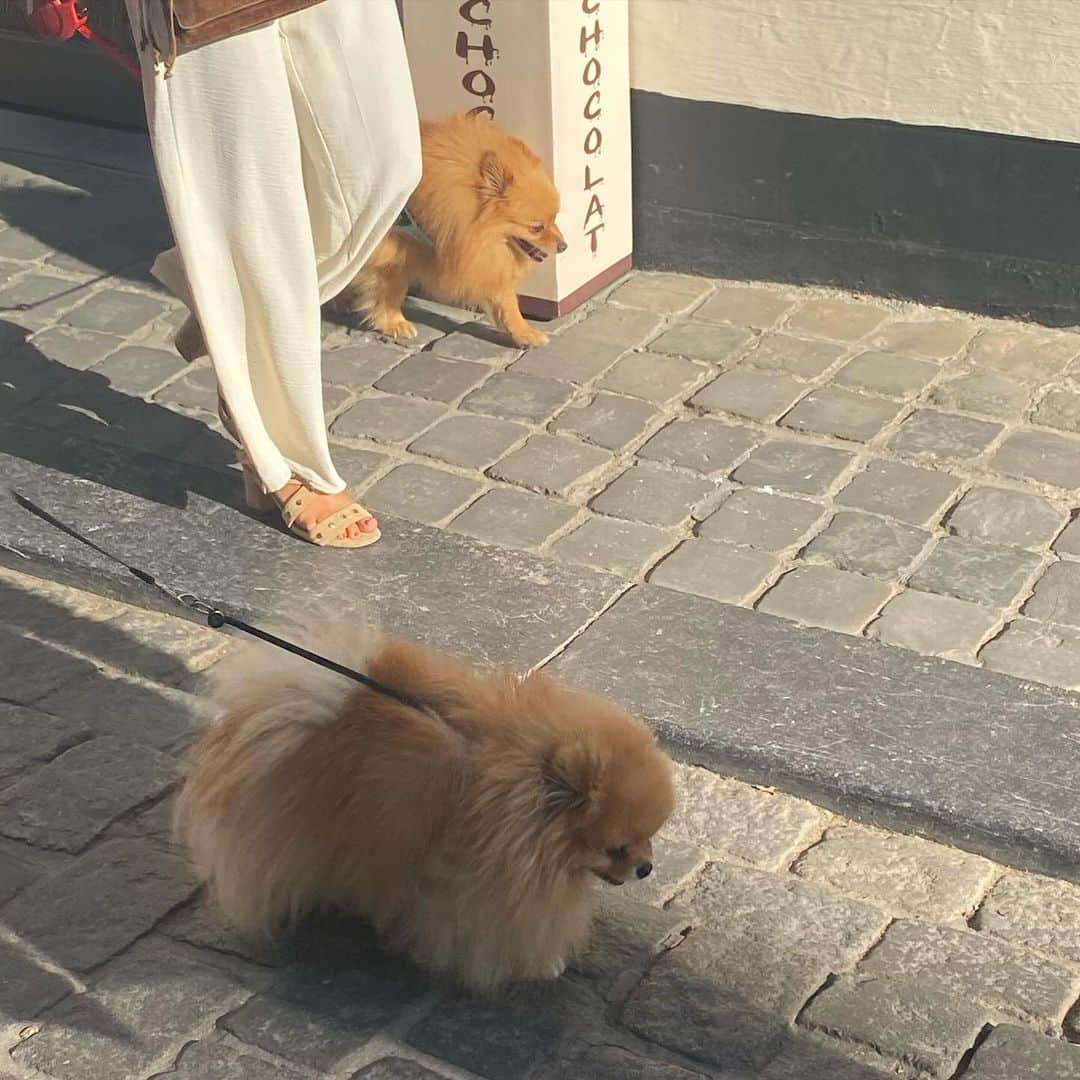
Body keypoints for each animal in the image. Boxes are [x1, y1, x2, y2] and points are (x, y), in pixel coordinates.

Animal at [339, 110, 570, 345]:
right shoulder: (392, 255)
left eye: (555, 218)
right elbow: (390, 291)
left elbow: (506, 303)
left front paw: (524, 333)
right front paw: (394, 322)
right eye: (537, 228)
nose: (564, 246)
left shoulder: (482, 257)